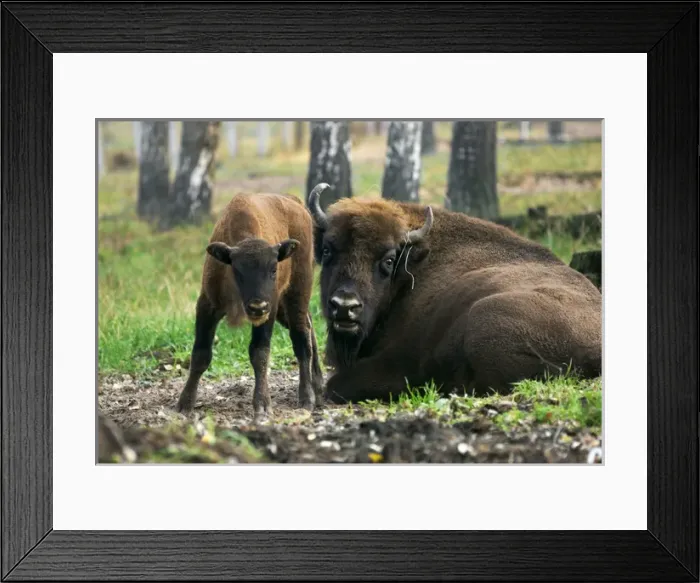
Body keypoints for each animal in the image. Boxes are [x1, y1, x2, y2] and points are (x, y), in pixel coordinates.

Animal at [176, 192, 323, 418]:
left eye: (273, 269)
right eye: (237, 270)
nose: (257, 306)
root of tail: (296, 203)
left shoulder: (269, 310)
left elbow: (259, 353)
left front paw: (262, 405)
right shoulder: (207, 305)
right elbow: (200, 353)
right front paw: (185, 404)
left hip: (297, 293)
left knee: (301, 340)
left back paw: (307, 398)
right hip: (285, 309)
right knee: (308, 325)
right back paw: (318, 385)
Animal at [306, 183, 602, 404]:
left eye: (388, 260)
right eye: (327, 250)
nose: (345, 306)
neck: (411, 268)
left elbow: (335, 384)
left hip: (485, 316)